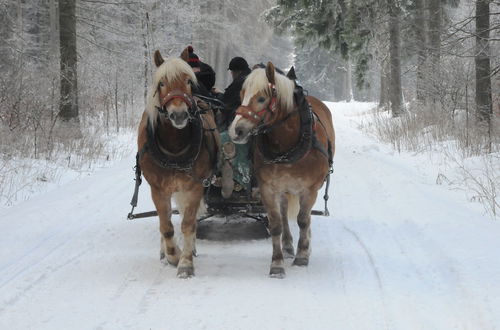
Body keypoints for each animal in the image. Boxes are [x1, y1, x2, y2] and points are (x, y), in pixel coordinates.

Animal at [137, 51, 219, 278]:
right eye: (161, 83)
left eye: (189, 81)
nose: (179, 114)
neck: (174, 146)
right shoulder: (158, 189)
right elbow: (166, 227)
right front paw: (173, 255)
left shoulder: (194, 187)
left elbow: (188, 225)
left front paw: (185, 263)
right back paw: (164, 252)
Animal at [229, 62, 334, 278]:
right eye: (242, 94)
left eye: (261, 98)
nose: (235, 131)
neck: (287, 147)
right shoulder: (268, 188)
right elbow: (276, 224)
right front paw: (277, 264)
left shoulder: (309, 189)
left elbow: (303, 220)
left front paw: (302, 256)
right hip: (284, 189)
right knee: (285, 213)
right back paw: (287, 246)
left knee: (306, 217)